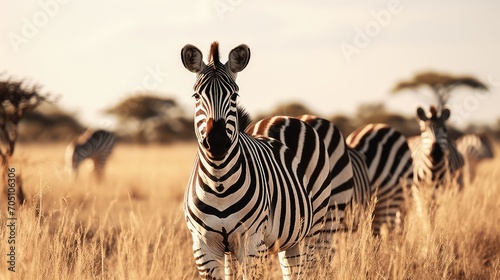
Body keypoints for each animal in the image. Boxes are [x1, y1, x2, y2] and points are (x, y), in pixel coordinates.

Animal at [182, 42, 334, 278]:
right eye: (196, 96)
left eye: (234, 95)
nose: (217, 142)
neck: (219, 183)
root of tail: (284, 118)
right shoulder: (203, 246)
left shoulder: (252, 243)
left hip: (312, 226)